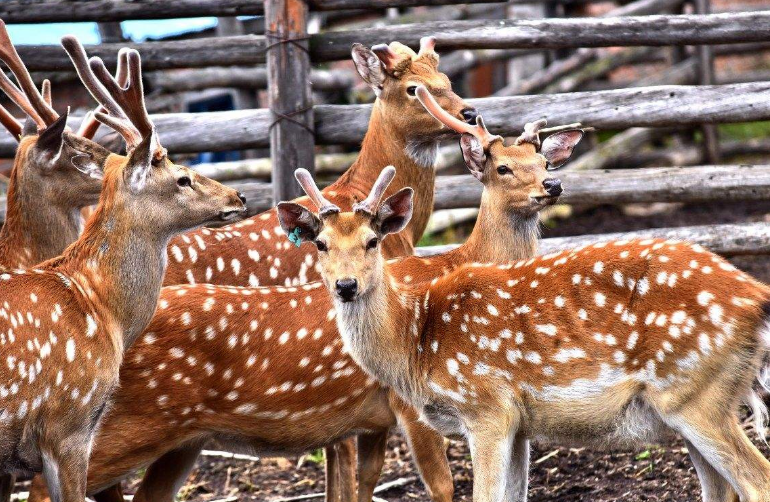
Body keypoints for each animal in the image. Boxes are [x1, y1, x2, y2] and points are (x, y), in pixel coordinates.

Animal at [27, 88, 584, 502]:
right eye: (501, 167)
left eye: (543, 160)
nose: (552, 187)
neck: (458, 263)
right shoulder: (407, 404)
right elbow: (443, 488)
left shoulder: (369, 421)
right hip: (107, 424)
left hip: (180, 440)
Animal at [280, 167, 770, 502]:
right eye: (320, 243)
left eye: (372, 240)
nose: (346, 285)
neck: (416, 343)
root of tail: (755, 294)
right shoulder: (519, 425)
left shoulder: (486, 407)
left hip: (695, 394)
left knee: (757, 481)